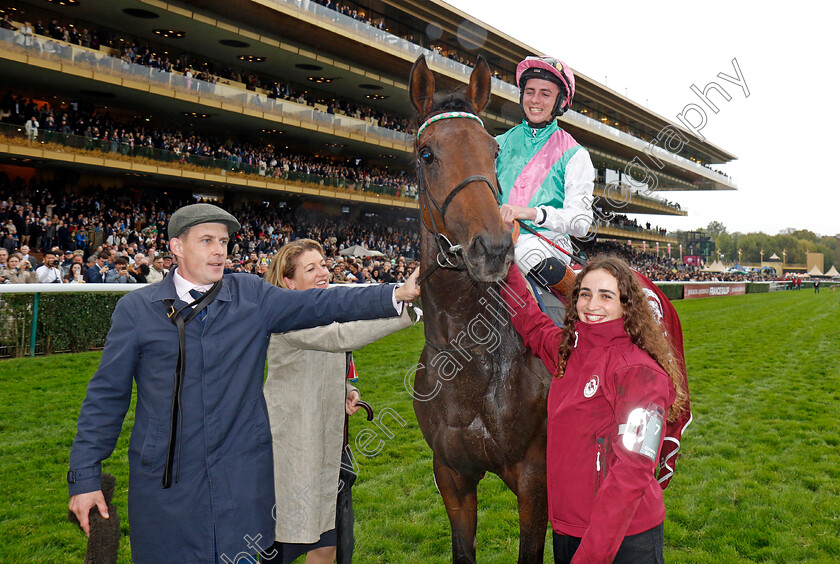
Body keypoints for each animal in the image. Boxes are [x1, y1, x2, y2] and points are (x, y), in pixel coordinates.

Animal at [406, 56, 552, 564]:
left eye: (492, 151)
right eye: (426, 153)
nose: (492, 247)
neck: (469, 356)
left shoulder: (534, 477)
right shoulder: (451, 475)